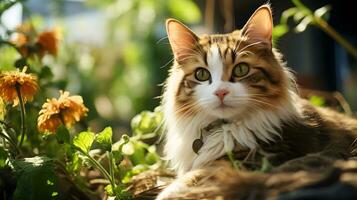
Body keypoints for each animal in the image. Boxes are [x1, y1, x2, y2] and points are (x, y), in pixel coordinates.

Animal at [158, 3, 356, 200]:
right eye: (201, 74)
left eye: (241, 70)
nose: (221, 92)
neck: (222, 129)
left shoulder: (250, 161)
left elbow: (191, 179)